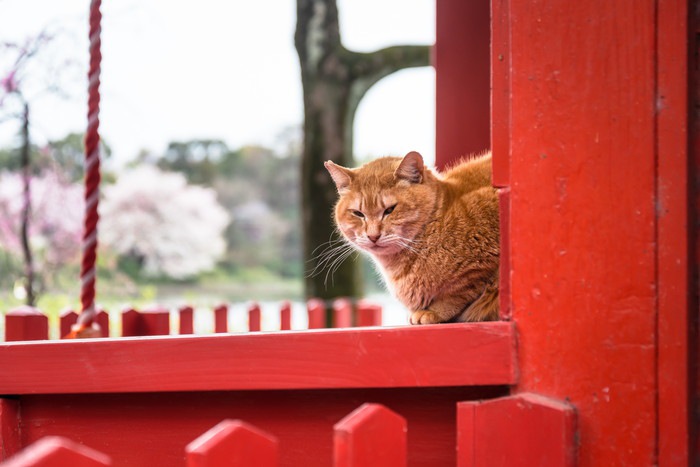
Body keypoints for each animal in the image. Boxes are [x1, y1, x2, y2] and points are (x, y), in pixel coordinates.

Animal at [326, 152, 500, 324]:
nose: (373, 236)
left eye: (390, 210)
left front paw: (433, 311)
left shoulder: (479, 267)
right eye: (358, 213)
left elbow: (458, 293)